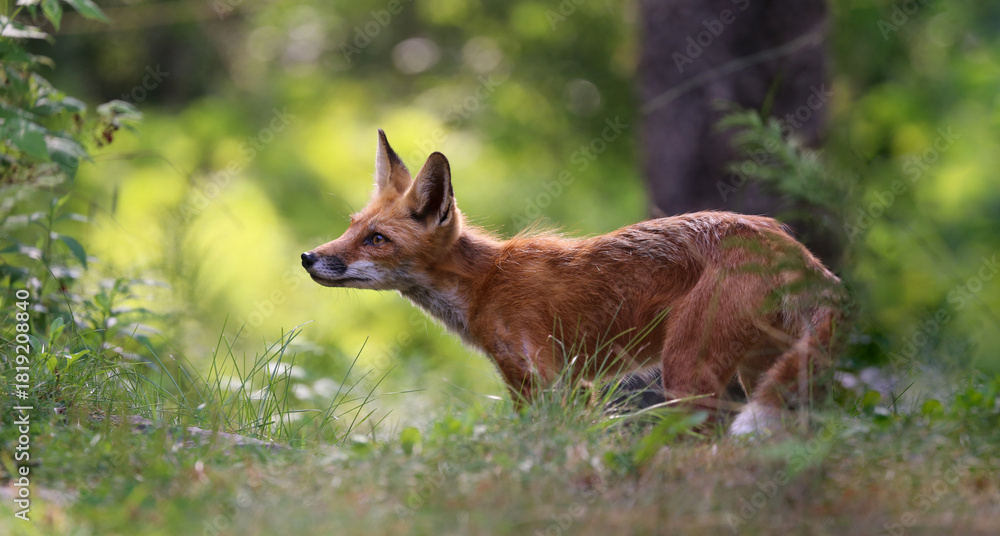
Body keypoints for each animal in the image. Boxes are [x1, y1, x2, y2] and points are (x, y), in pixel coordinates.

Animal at [301, 130, 843, 435]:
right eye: (351, 226)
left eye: (377, 239)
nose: (309, 258)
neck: (484, 284)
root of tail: (786, 243)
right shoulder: (567, 382)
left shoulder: (539, 375)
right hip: (766, 372)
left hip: (687, 373)